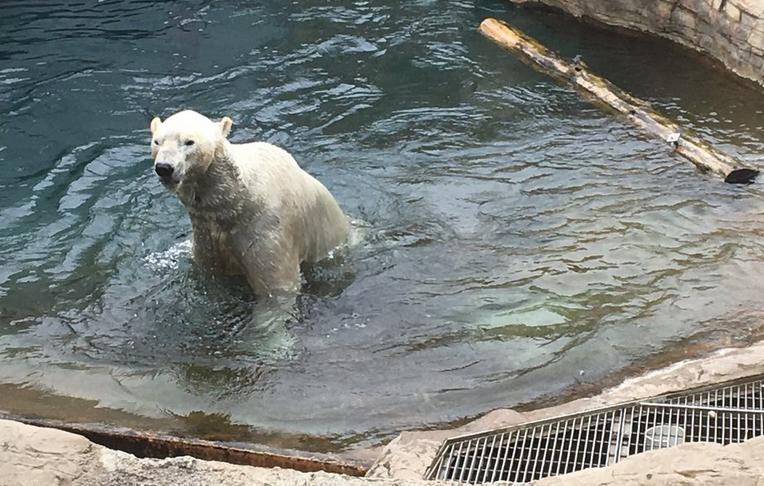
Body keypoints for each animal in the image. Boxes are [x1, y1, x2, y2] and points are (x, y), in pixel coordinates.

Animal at [151, 110, 348, 298]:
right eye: (156, 141)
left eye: (189, 141)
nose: (164, 168)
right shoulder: (205, 234)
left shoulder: (266, 231)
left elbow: (277, 287)